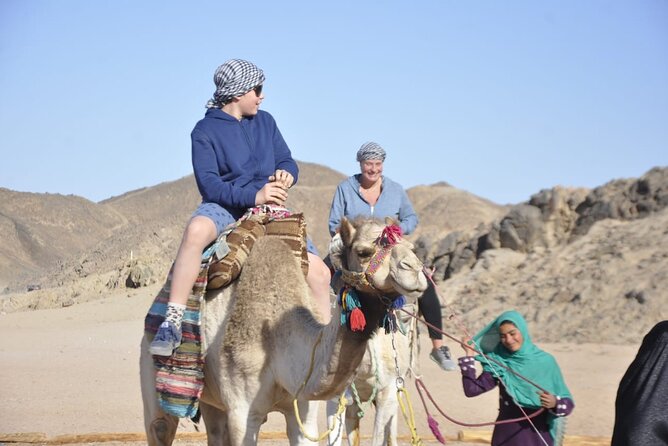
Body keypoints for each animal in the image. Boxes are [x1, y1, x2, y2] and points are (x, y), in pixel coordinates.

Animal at [140, 216, 428, 446]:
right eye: (364, 251)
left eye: (412, 248)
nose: (415, 270)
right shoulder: (242, 412)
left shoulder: (304, 409)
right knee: (160, 427)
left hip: (212, 400)